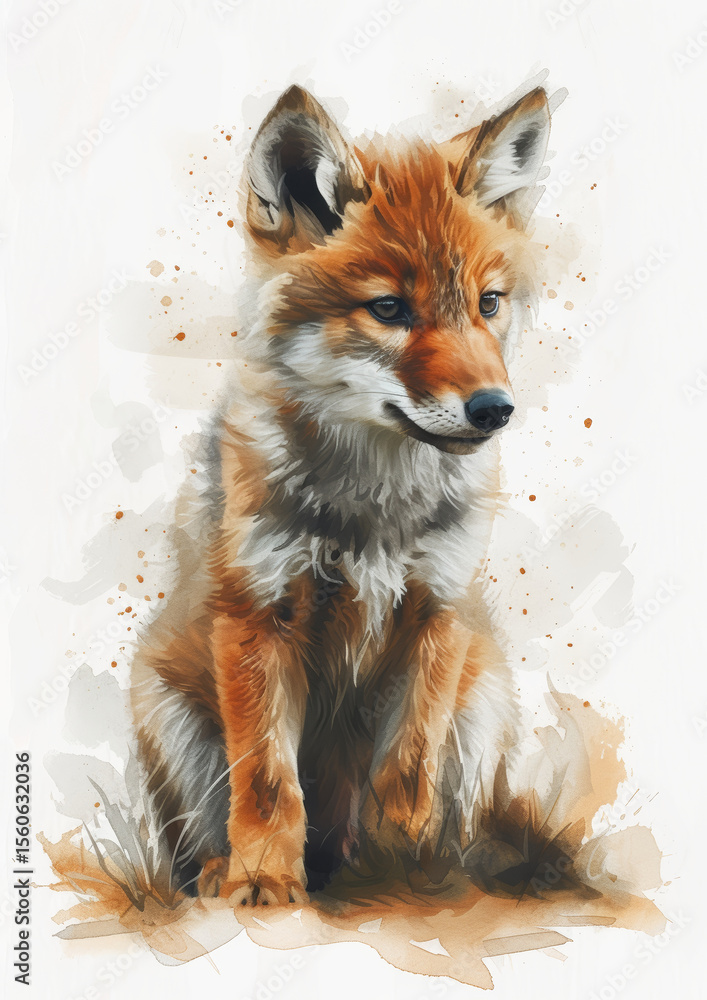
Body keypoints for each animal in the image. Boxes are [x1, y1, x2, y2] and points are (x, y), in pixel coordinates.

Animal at [131, 83, 553, 907]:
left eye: (487, 304)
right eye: (388, 310)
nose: (494, 408)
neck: (376, 509)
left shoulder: (436, 613)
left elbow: (407, 771)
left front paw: (403, 870)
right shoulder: (258, 616)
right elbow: (268, 783)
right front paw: (265, 880)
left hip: (483, 701)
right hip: (170, 717)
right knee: (202, 841)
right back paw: (232, 874)